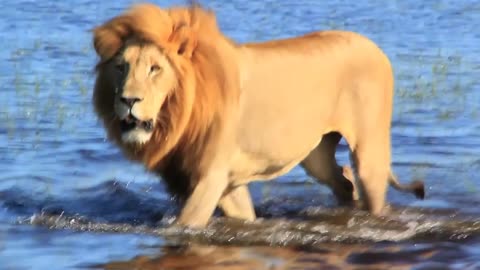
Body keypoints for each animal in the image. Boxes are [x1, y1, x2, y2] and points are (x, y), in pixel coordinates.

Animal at [91, 3, 424, 228]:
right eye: (121, 67)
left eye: (155, 69)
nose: (128, 100)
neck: (177, 115)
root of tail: (376, 48)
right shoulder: (225, 183)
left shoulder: (210, 176)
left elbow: (186, 224)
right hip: (315, 155)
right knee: (343, 178)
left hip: (369, 152)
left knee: (368, 188)